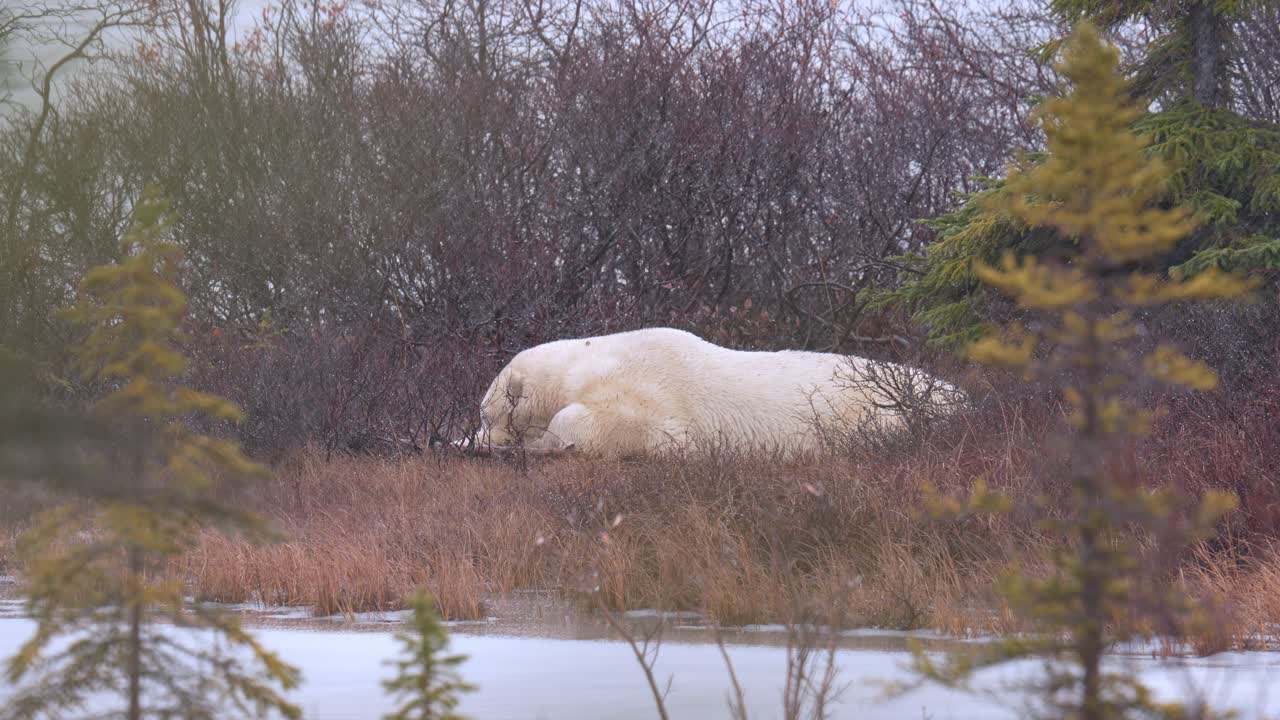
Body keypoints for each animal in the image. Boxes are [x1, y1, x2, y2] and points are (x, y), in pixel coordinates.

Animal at [466, 327, 960, 458]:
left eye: (486, 415)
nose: (478, 436)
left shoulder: (650, 393)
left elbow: (624, 424)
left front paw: (547, 440)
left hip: (878, 410)